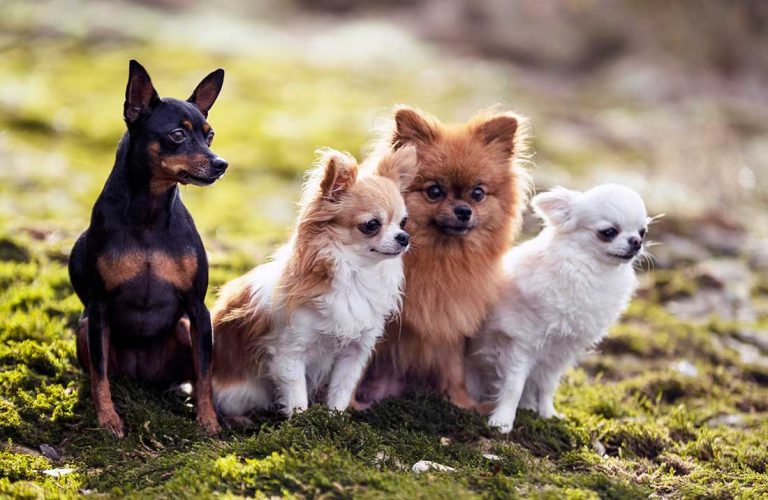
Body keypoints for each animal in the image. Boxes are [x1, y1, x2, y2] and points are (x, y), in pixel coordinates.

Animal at [70, 59, 226, 438]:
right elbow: (99, 375)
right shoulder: (98, 310)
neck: (149, 215)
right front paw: (107, 420)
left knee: (190, 374)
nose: (220, 164)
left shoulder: (198, 310)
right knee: (99, 373)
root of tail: (142, 377)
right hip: (85, 328)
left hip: (183, 328)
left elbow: (205, 374)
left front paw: (208, 422)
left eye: (210, 135)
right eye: (177, 135)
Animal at [210, 146, 416, 420]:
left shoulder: (353, 354)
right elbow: (297, 396)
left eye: (403, 222)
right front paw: (302, 423)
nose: (404, 237)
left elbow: (340, 392)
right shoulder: (290, 353)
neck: (355, 275)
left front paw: (333, 421)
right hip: (241, 392)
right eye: (372, 225)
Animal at [356, 106, 532, 410]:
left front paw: (462, 403)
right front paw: (348, 405)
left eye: (478, 193)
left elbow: (453, 368)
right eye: (434, 191)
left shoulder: (449, 323)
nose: (463, 210)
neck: (440, 259)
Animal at [468, 184, 648, 430]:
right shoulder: (521, 343)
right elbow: (513, 387)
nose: (636, 242)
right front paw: (503, 420)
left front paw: (548, 414)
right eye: (608, 232)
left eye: (643, 232)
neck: (588, 272)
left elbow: (547, 386)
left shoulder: (559, 352)